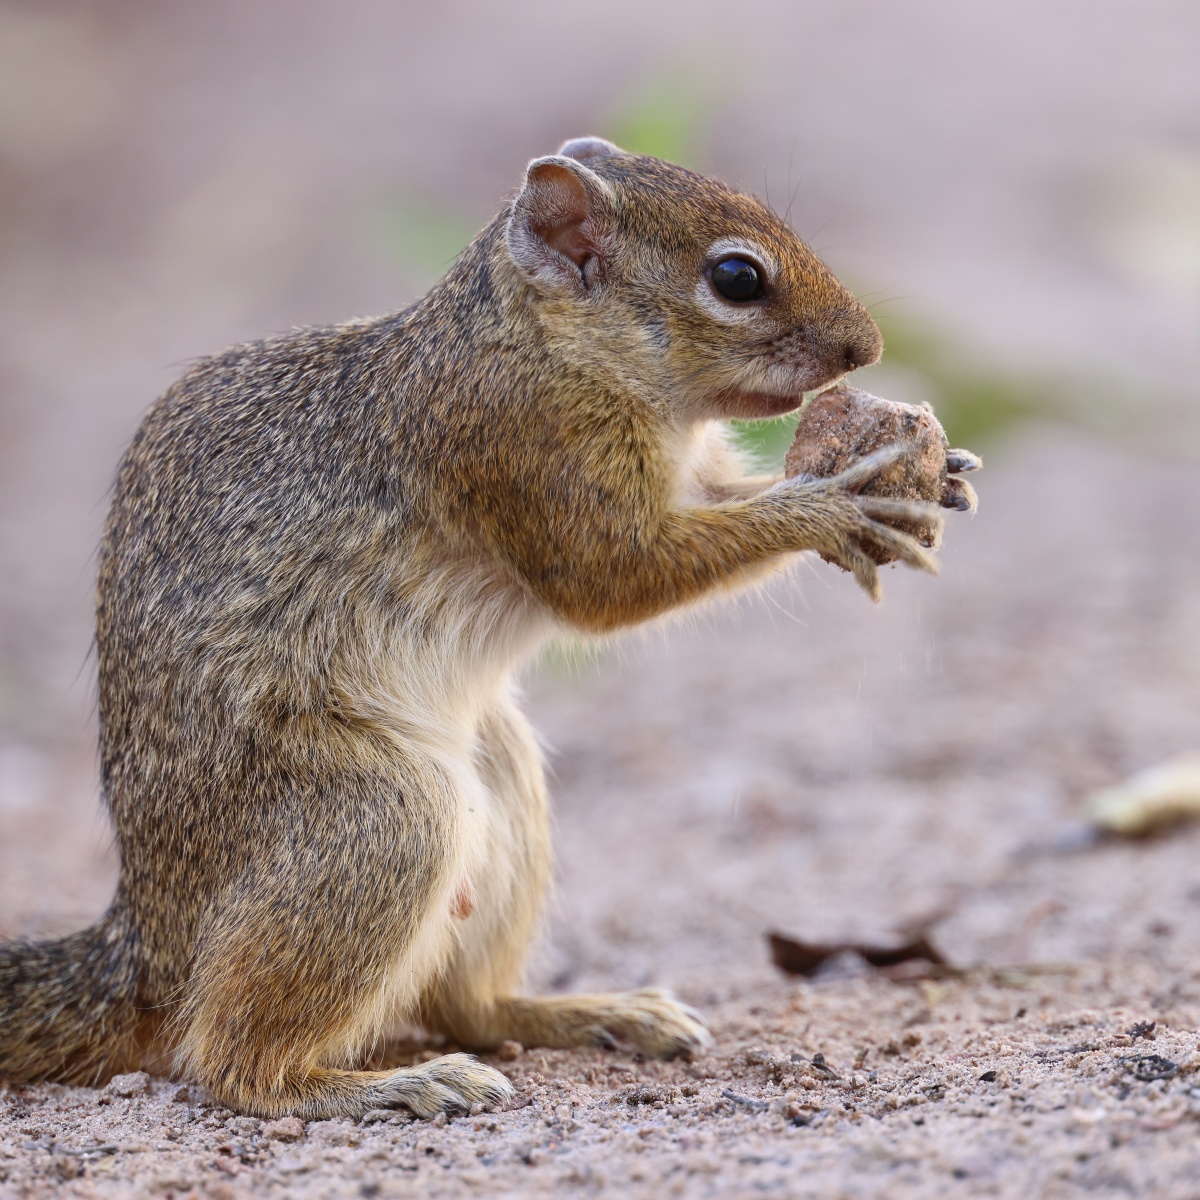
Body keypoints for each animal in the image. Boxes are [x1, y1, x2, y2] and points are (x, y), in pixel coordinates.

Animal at [0, 137, 944, 1119]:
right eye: (736, 277)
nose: (867, 347)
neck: (540, 342)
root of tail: (149, 941)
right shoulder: (525, 448)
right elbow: (616, 579)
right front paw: (837, 504)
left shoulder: (689, 474)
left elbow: (725, 500)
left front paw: (928, 473)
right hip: (384, 816)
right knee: (229, 1061)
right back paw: (386, 1084)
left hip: (503, 784)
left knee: (468, 1007)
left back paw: (596, 1014)